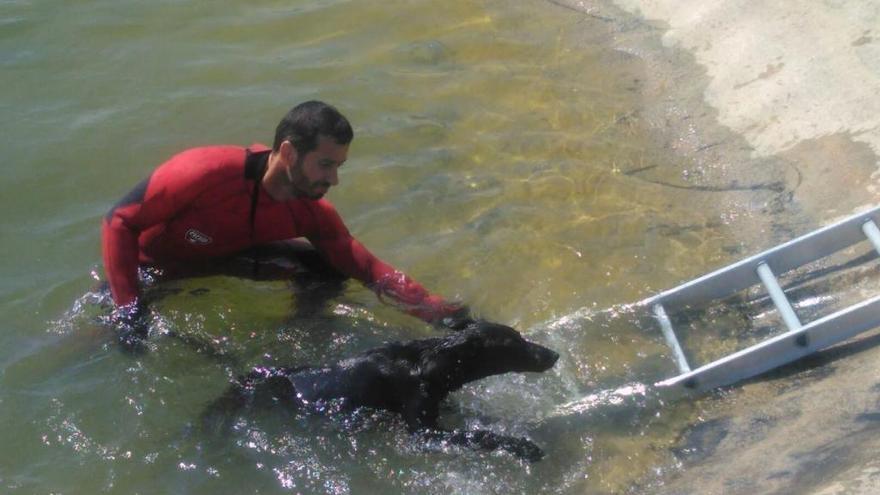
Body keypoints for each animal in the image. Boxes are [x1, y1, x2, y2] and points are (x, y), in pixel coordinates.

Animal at [206, 320, 556, 464]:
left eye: (521, 337)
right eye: (514, 344)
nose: (554, 355)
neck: (425, 365)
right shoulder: (423, 430)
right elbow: (480, 435)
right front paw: (522, 446)